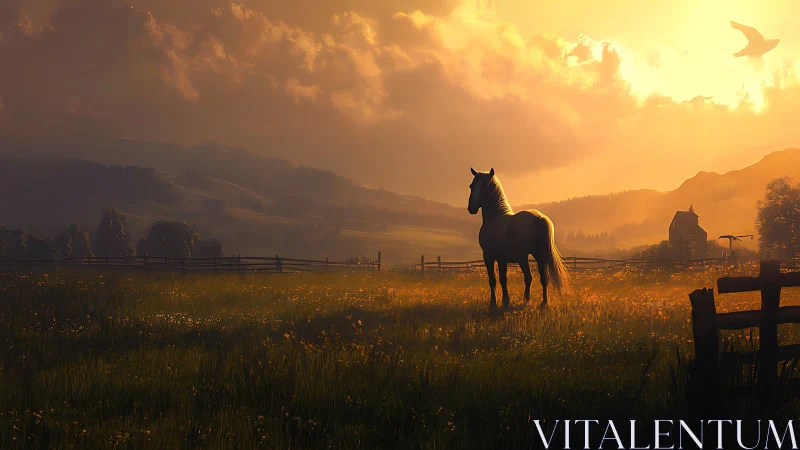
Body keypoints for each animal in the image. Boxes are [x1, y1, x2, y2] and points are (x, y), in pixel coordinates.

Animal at [468, 168, 569, 310]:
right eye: (472, 186)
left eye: (484, 186)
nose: (471, 208)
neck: (495, 218)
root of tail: (539, 218)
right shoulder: (506, 259)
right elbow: (506, 279)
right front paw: (505, 301)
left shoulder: (490, 257)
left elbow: (495, 280)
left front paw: (496, 303)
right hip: (539, 256)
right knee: (543, 278)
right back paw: (542, 302)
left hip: (526, 257)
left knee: (530, 277)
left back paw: (527, 301)